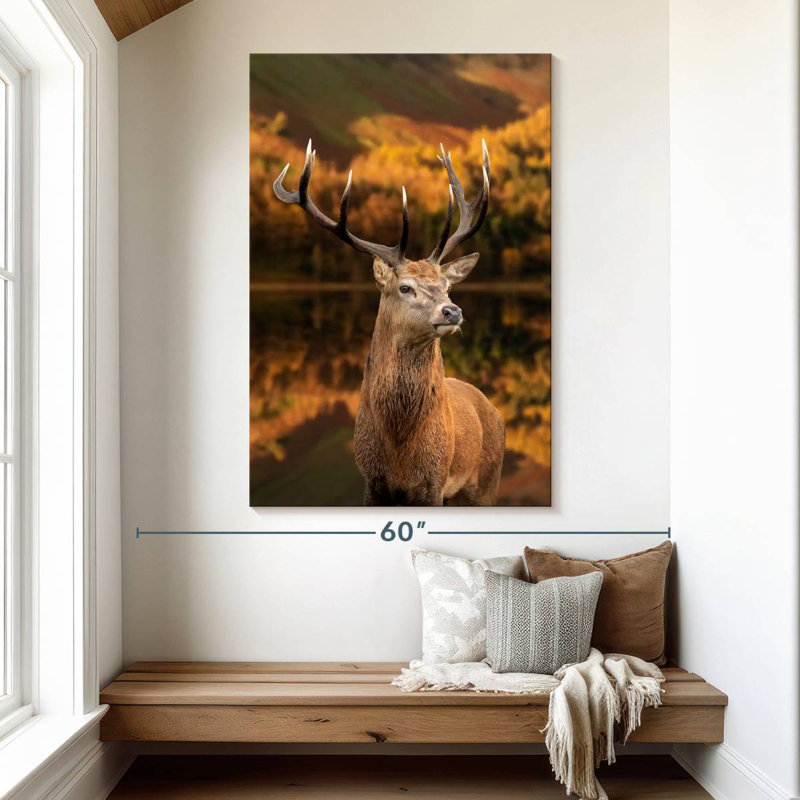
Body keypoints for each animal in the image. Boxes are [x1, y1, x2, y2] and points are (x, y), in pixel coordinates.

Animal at [273, 139, 504, 506]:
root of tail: (493, 408)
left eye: (448, 286)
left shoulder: (435, 482)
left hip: (487, 482)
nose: (452, 311)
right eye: (405, 287)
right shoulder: (371, 480)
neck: (399, 453)